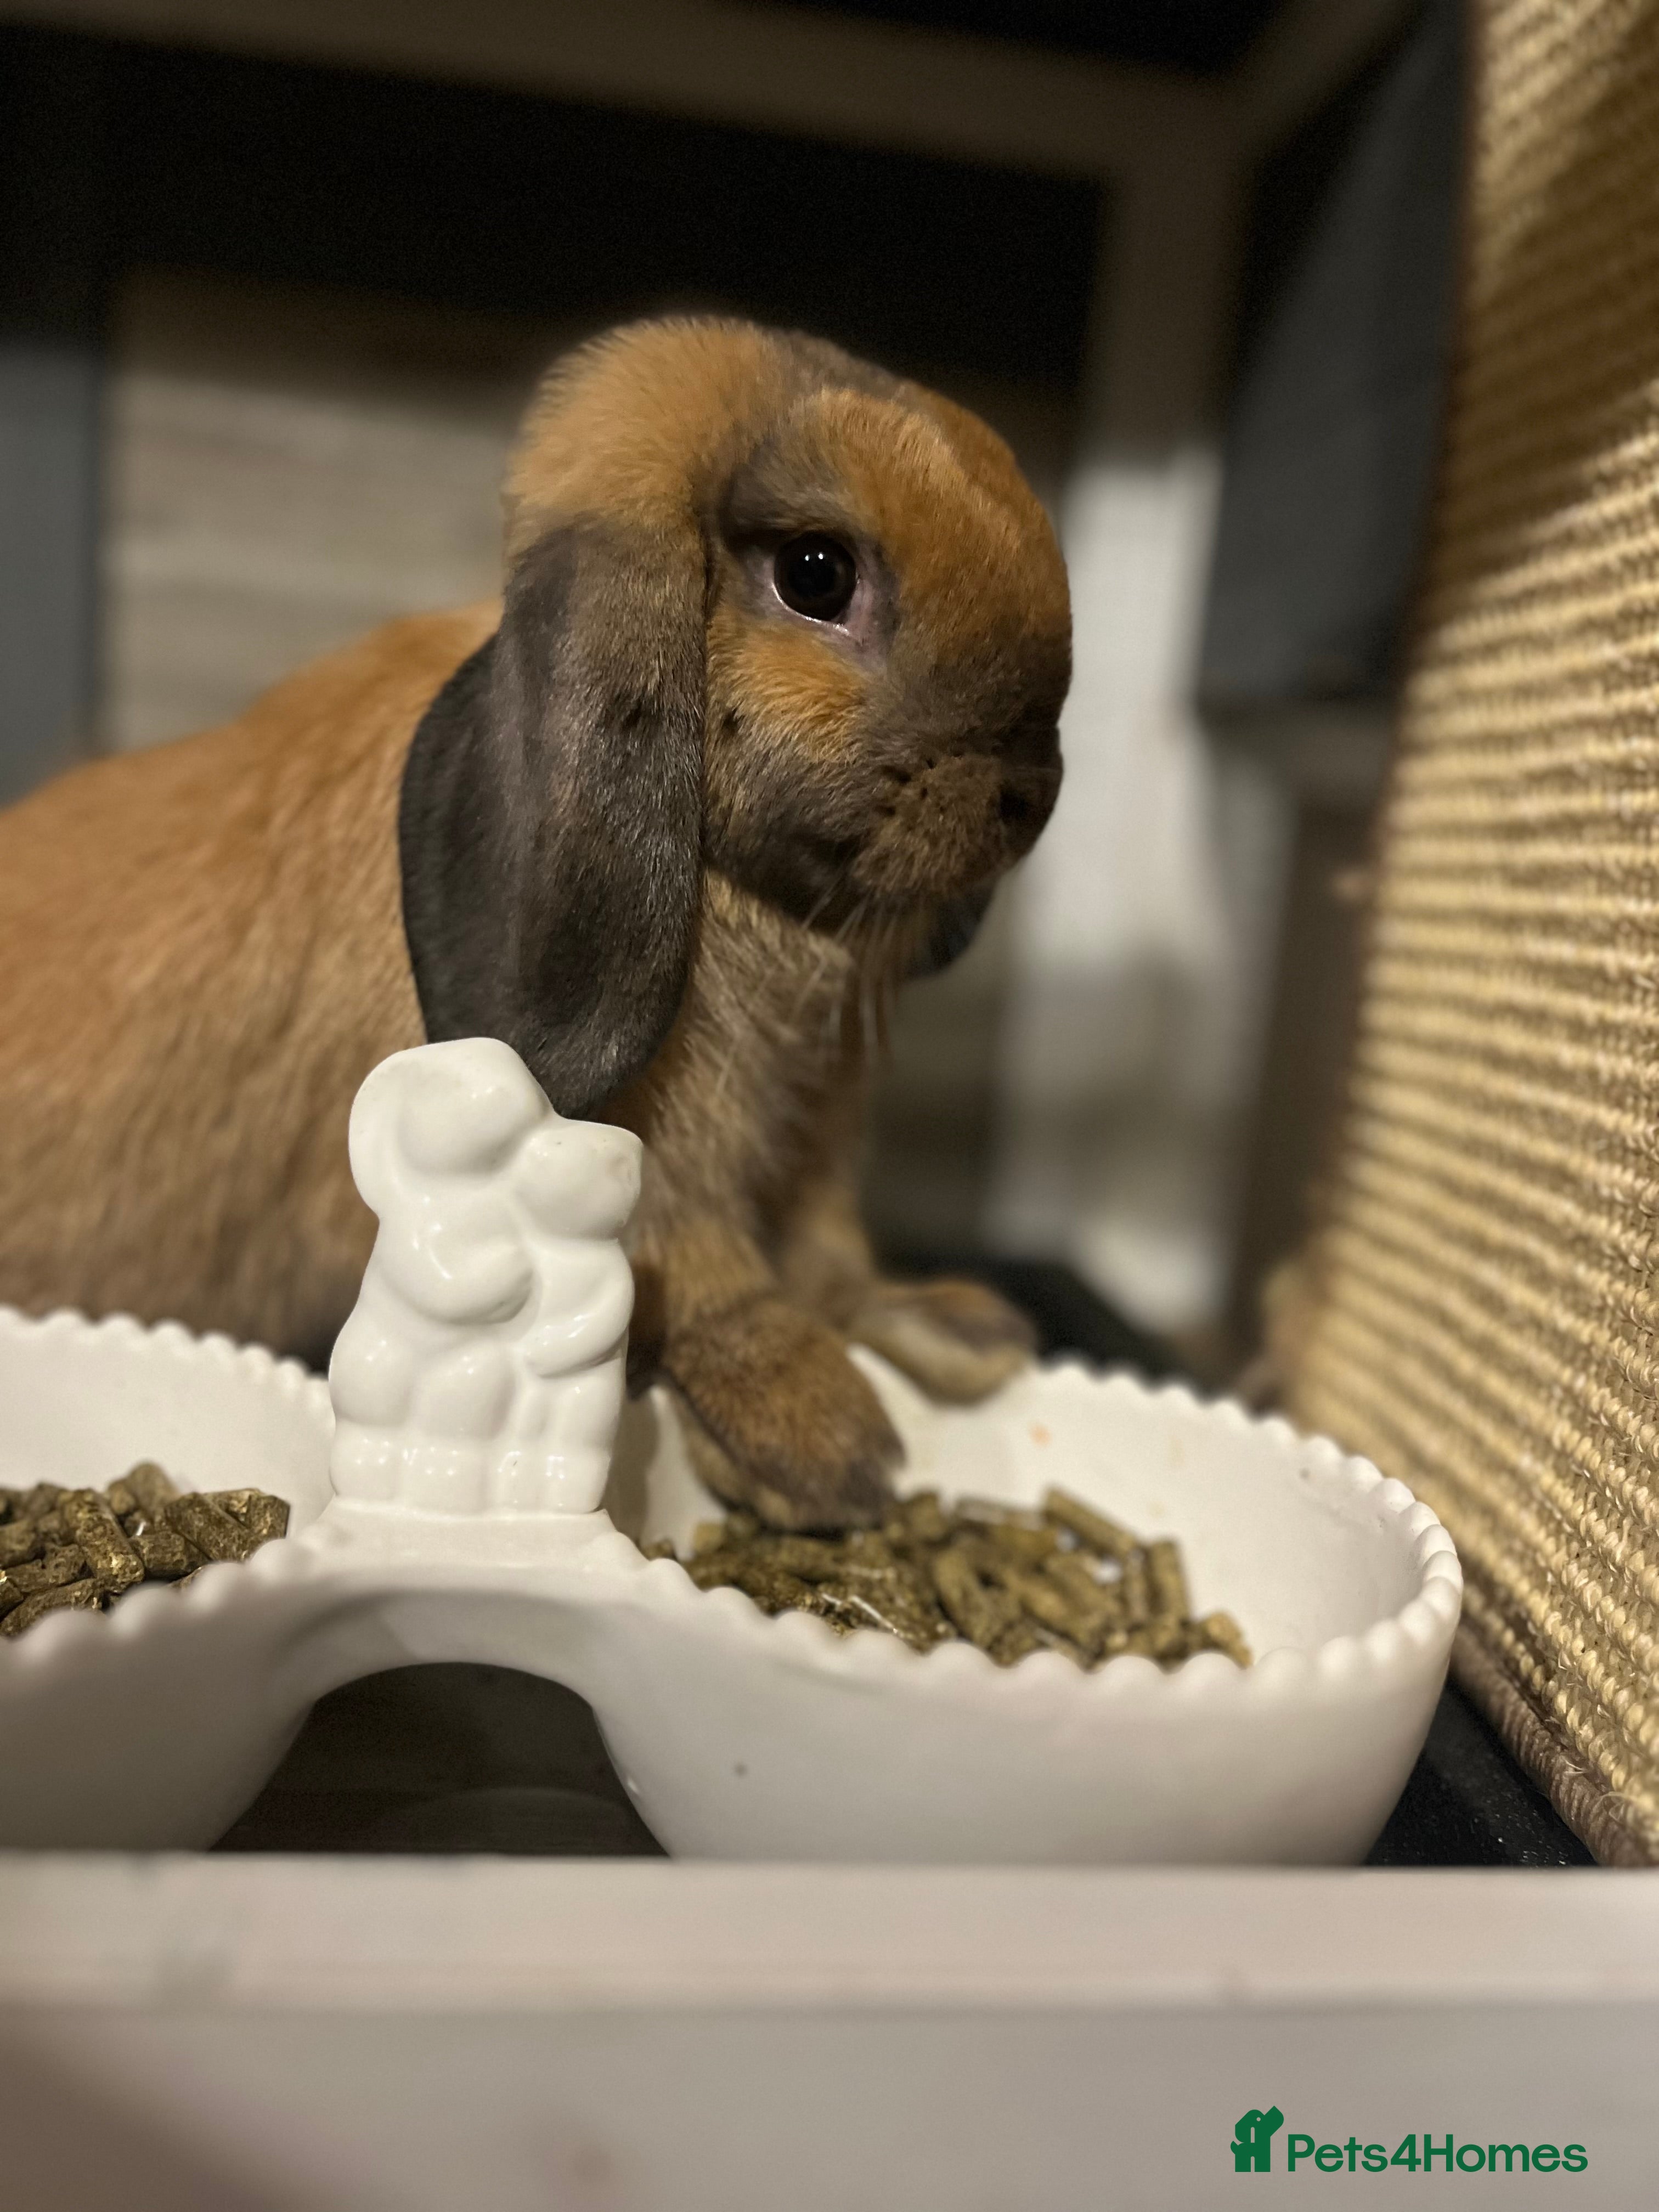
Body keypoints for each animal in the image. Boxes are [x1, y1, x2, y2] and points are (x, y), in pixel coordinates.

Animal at [0, 317, 1069, 1529]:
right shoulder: (660, 1164)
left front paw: (956, 1333)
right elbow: (712, 1277)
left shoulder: (812, 1139)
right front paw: (825, 1445)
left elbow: (830, 1259)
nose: (1030, 791)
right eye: (816, 574)